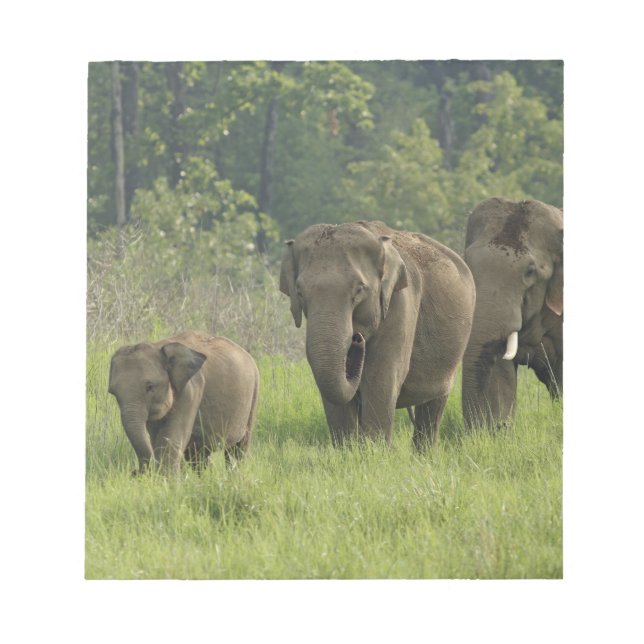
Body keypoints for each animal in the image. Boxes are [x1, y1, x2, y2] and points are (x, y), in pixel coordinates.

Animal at [108, 330, 259, 474]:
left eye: (150, 387)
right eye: (113, 393)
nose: (135, 472)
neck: (158, 346)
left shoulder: (191, 390)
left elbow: (171, 438)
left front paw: (167, 479)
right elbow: (156, 438)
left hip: (253, 394)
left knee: (238, 448)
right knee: (199, 454)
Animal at [280, 220, 476, 448]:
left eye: (359, 290)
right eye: (300, 292)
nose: (357, 339)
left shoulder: (401, 303)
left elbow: (381, 378)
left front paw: (375, 451)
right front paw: (347, 450)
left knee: (433, 406)